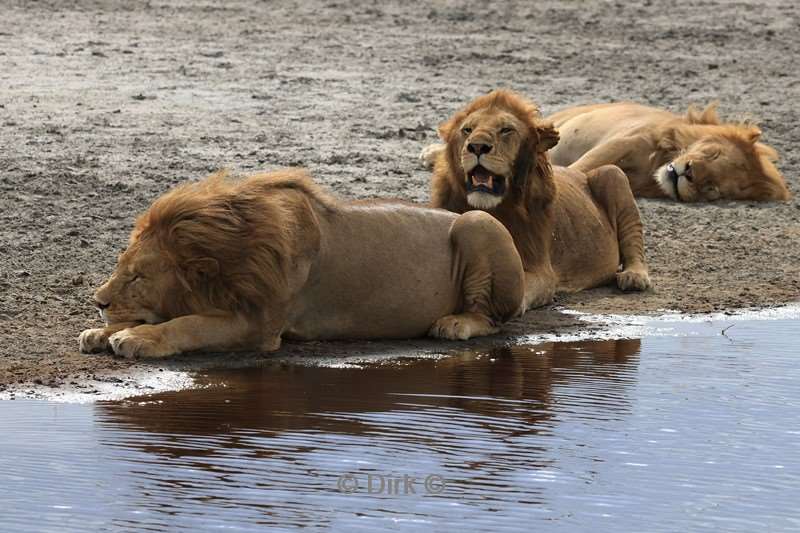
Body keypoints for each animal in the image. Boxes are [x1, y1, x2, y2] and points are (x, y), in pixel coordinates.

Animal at [78, 168, 528, 358]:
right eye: (120, 266)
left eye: (138, 277)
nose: (98, 302)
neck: (233, 245)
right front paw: (101, 332)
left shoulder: (258, 324)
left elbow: (189, 324)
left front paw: (135, 339)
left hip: (478, 221)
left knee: (493, 318)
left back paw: (454, 324)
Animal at [424, 90, 648, 310]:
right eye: (467, 130)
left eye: (506, 130)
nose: (477, 146)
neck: (493, 208)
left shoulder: (543, 271)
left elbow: (521, 286)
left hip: (613, 173)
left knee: (634, 239)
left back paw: (634, 276)